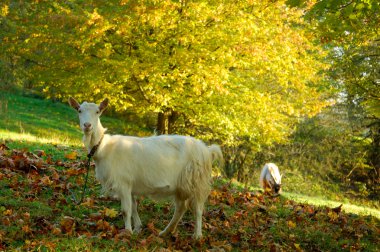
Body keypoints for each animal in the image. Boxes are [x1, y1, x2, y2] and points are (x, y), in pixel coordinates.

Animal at [68, 96, 223, 238]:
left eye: (98, 111)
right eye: (79, 110)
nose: (87, 125)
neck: (103, 147)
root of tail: (207, 150)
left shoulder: (123, 182)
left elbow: (126, 210)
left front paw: (128, 232)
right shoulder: (130, 185)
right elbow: (134, 207)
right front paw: (137, 228)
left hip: (197, 182)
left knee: (197, 209)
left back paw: (197, 236)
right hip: (182, 185)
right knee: (181, 208)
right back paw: (166, 232)